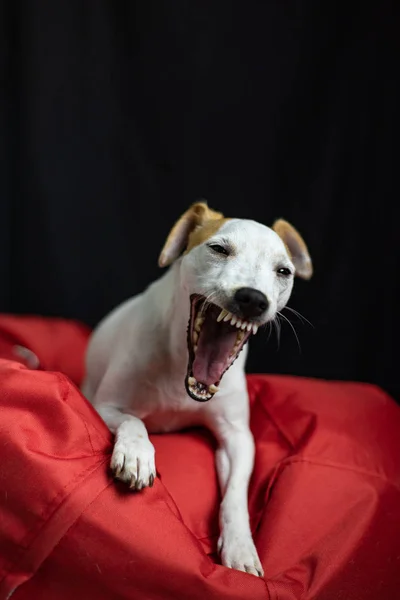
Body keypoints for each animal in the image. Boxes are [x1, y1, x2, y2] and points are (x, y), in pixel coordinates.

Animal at [82, 202, 312, 576]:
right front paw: (136, 453)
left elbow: (236, 493)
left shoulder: (238, 438)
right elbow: (134, 421)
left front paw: (240, 547)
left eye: (283, 271)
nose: (253, 299)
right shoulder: (105, 406)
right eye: (218, 249)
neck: (182, 369)